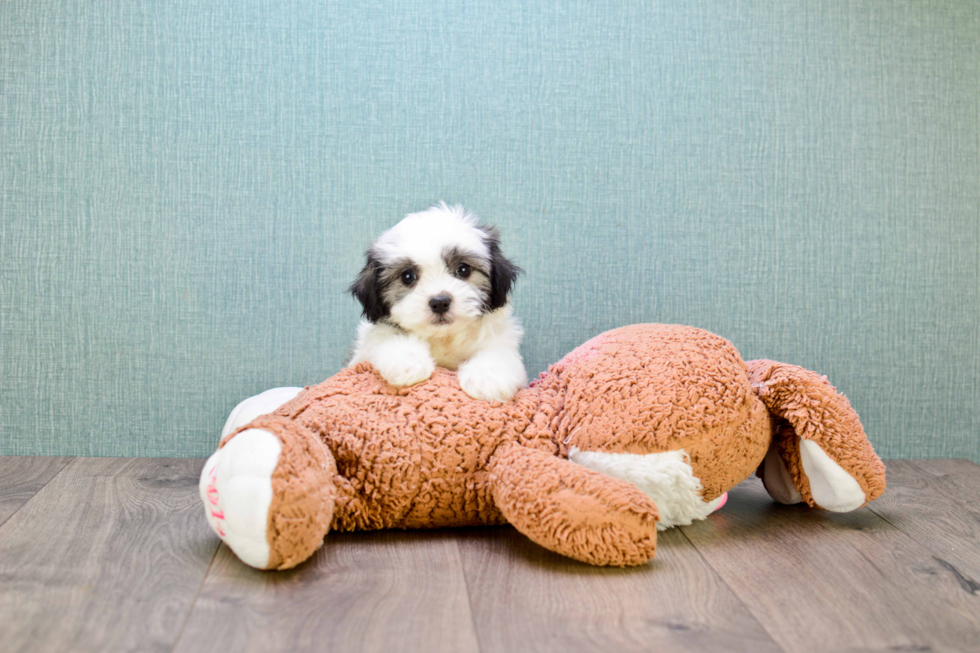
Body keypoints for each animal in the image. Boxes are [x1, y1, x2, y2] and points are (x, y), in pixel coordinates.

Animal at [346, 204, 528, 400]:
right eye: (407, 276)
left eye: (463, 269)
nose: (440, 302)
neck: (443, 338)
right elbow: (390, 339)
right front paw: (407, 363)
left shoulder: (501, 337)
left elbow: (498, 352)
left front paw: (487, 378)